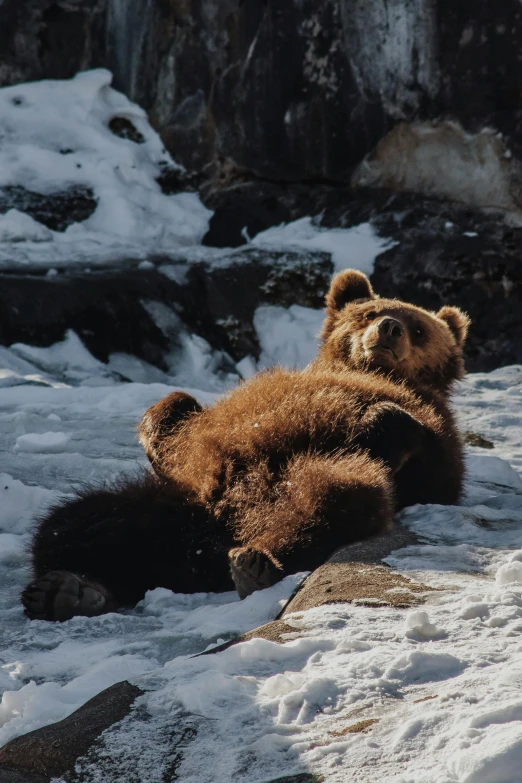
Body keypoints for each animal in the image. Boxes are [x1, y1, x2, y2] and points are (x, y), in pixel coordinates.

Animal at [21, 272, 468, 620]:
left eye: (420, 328)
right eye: (369, 313)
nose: (390, 327)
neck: (369, 371)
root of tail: (209, 541)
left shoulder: (433, 431)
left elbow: (424, 462)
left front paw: (376, 425)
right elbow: (180, 413)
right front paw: (160, 428)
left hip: (303, 479)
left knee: (337, 496)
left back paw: (256, 562)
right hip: (171, 506)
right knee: (71, 524)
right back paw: (67, 590)